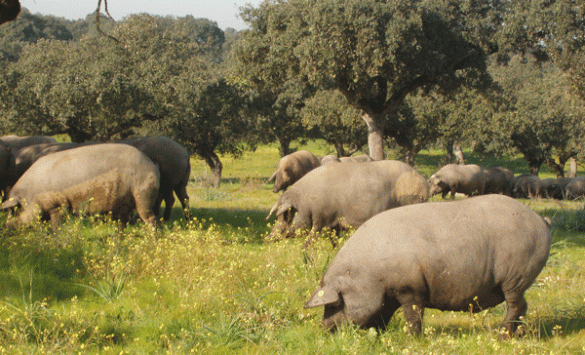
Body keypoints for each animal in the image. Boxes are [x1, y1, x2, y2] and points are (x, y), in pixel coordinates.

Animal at [1, 143, 160, 229]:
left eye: (13, 211)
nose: (4, 227)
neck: (32, 194)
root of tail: (152, 165)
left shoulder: (58, 205)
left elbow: (55, 226)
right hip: (124, 203)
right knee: (123, 222)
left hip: (143, 194)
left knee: (150, 218)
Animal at [266, 161, 426, 245]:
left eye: (285, 216)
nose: (268, 237)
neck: (306, 203)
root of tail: (424, 183)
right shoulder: (333, 224)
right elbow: (334, 241)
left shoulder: (320, 220)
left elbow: (309, 242)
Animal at [306, 196, 552, 338]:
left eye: (335, 304)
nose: (323, 329)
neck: (369, 274)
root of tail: (540, 220)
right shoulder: (391, 292)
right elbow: (385, 312)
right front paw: (381, 334)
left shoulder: (410, 288)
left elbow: (413, 314)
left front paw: (411, 339)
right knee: (524, 305)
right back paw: (517, 335)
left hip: (516, 275)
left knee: (517, 305)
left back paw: (502, 336)